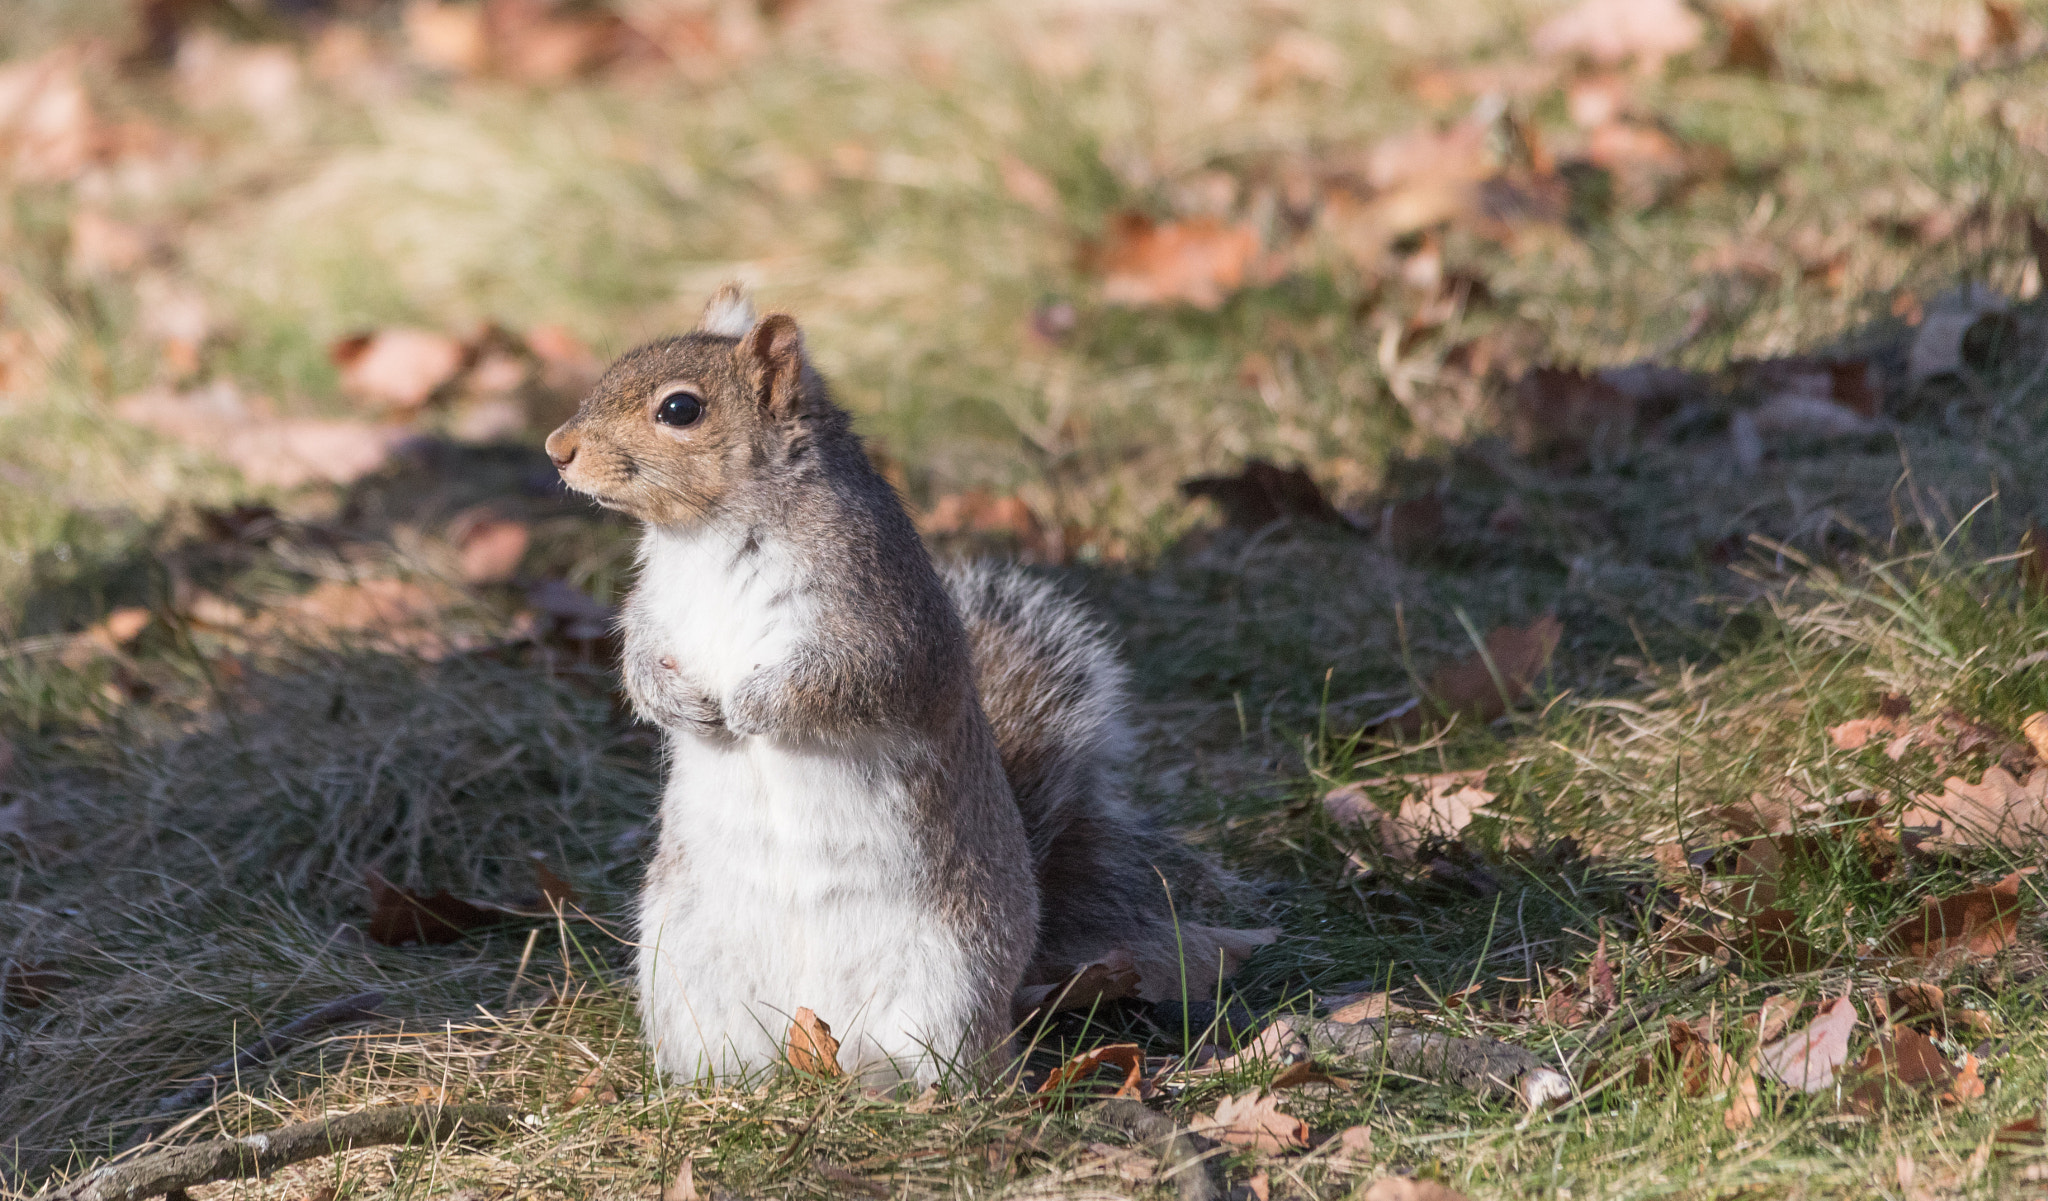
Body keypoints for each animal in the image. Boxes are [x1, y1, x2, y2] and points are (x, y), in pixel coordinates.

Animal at [536, 284, 1253, 1082]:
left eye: (680, 409)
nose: (557, 449)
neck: (707, 537)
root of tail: (818, 1040)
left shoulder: (883, 619)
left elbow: (851, 680)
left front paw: (751, 706)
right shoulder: (654, 609)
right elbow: (638, 661)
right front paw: (682, 705)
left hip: (951, 975)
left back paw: (908, 1089)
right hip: (685, 965)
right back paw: (721, 1085)